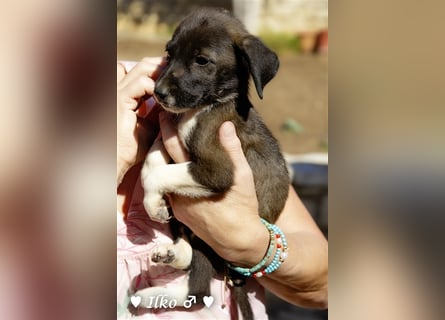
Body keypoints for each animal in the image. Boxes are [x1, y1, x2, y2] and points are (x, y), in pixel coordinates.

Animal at [135, 7, 288, 320]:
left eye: (202, 60)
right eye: (169, 53)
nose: (158, 93)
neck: (205, 106)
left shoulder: (218, 170)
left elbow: (159, 174)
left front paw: (152, 202)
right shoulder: (170, 134)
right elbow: (152, 160)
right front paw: (154, 201)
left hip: (211, 242)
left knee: (198, 289)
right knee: (192, 267)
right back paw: (168, 258)